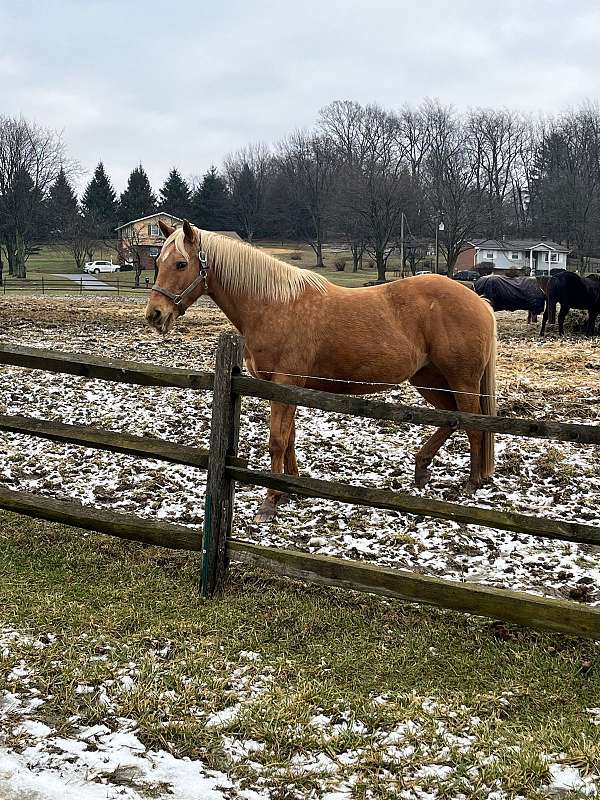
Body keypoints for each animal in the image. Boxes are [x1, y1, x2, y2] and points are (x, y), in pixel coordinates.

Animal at [145, 222, 496, 520]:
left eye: (181, 264)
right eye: (157, 261)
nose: (154, 314)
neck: (274, 304)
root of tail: (479, 301)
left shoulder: (285, 384)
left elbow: (277, 440)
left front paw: (270, 501)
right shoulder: (283, 388)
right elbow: (289, 438)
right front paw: (290, 489)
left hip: (461, 380)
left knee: (473, 424)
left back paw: (471, 483)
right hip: (429, 379)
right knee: (451, 418)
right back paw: (422, 468)